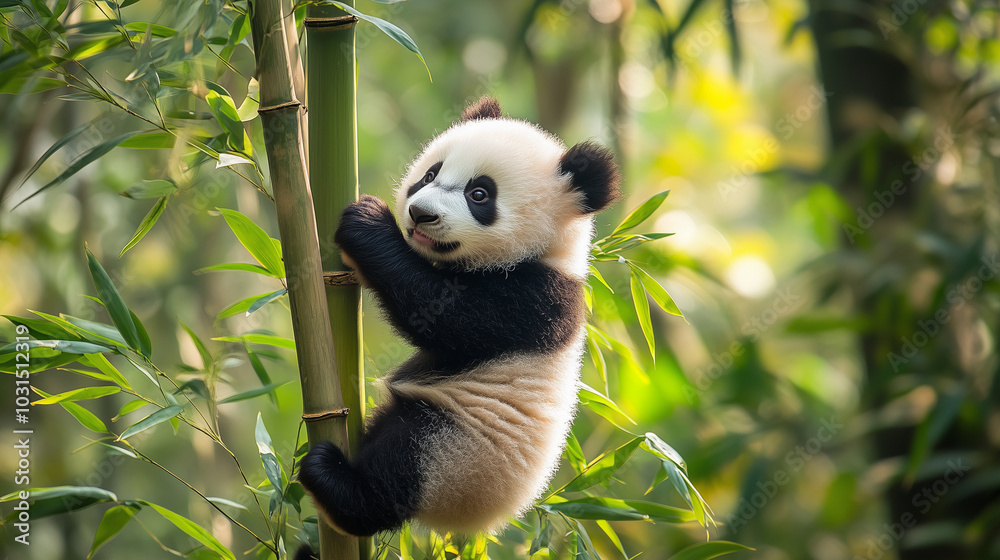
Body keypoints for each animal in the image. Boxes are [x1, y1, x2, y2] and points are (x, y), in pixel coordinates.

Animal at [297, 96, 621, 538]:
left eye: (479, 194)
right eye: (430, 174)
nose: (420, 214)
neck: (550, 250)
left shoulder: (537, 299)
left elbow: (440, 314)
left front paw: (365, 223)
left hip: (455, 452)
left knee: (399, 468)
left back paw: (334, 480)